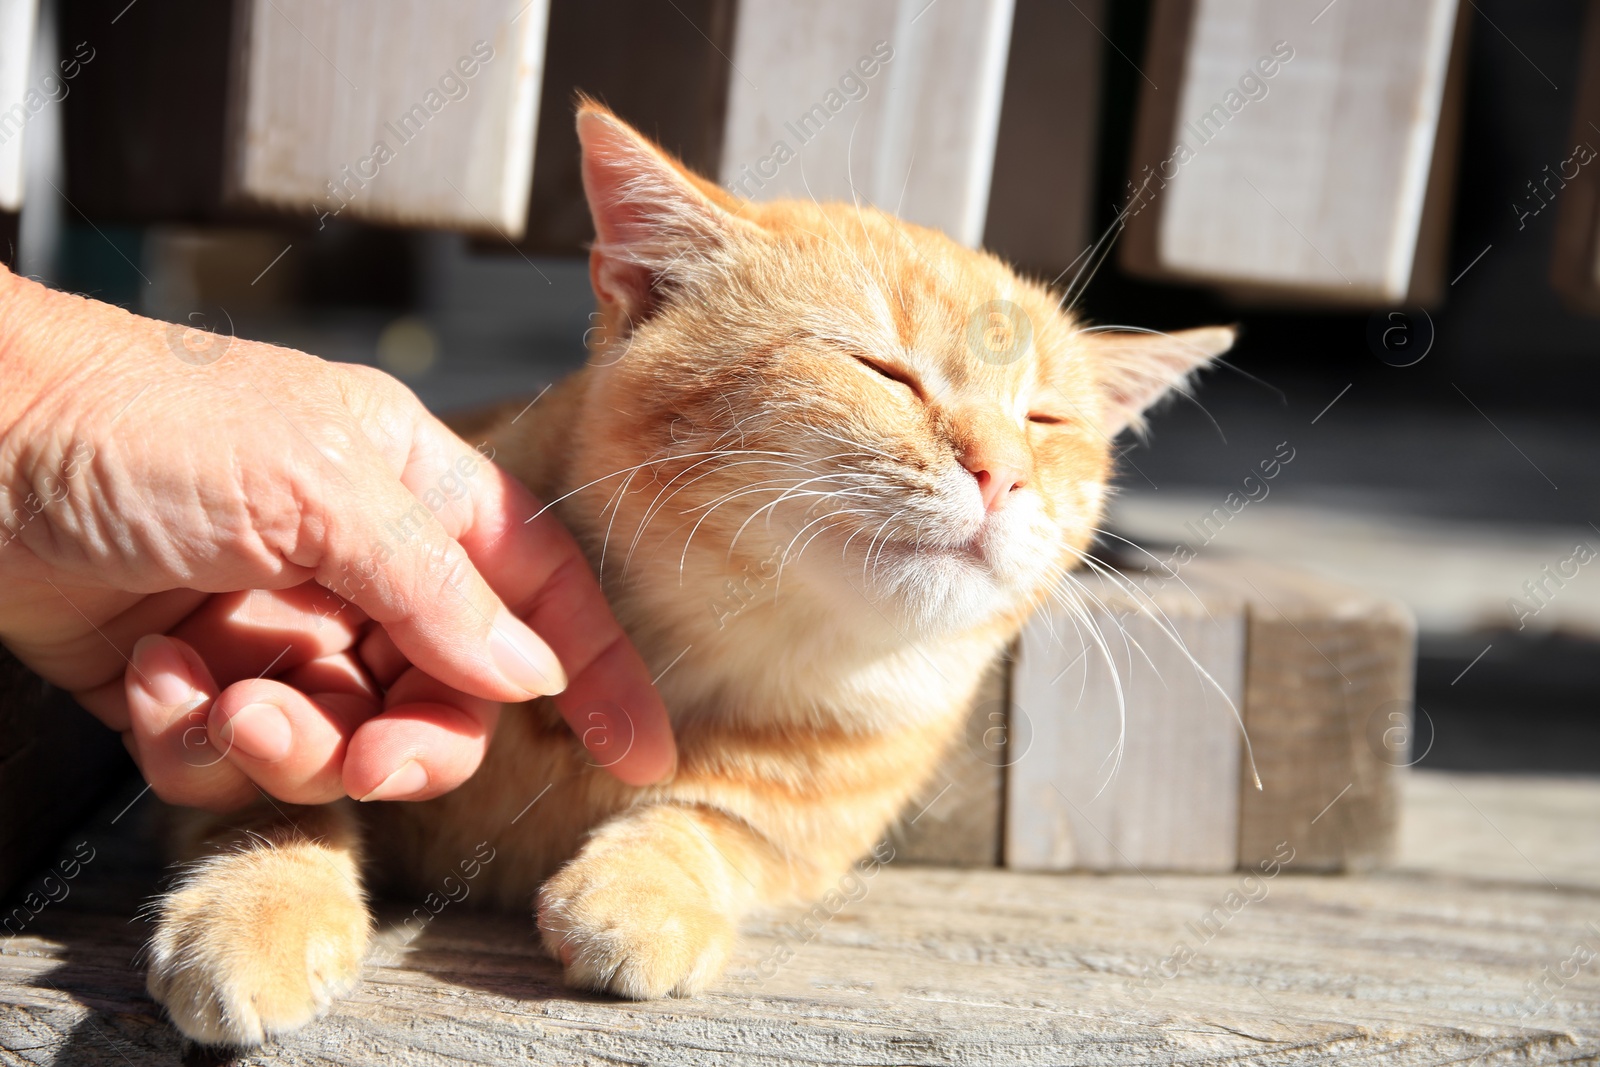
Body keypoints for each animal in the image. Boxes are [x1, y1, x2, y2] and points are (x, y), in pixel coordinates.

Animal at [144, 106, 1235, 1043]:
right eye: (883, 370)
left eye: (1047, 422)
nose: (1002, 471)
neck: (707, 648)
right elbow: (273, 793)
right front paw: (260, 911)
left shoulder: (804, 825)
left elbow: (708, 818)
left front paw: (645, 888)